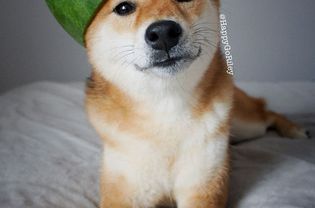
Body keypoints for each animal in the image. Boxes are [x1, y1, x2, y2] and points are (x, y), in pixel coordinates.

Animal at [84, 0, 312, 207]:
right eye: (124, 8)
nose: (163, 33)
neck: (166, 107)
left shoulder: (204, 182)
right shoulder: (124, 186)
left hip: (247, 126)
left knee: (265, 111)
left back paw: (295, 129)